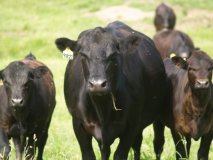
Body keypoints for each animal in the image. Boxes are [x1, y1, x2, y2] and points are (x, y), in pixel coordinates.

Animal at [54, 20, 166, 160]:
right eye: (83, 55)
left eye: (113, 55)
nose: (97, 84)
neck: (102, 109)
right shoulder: (78, 124)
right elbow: (89, 154)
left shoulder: (131, 125)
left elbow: (120, 154)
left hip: (156, 117)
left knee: (155, 144)